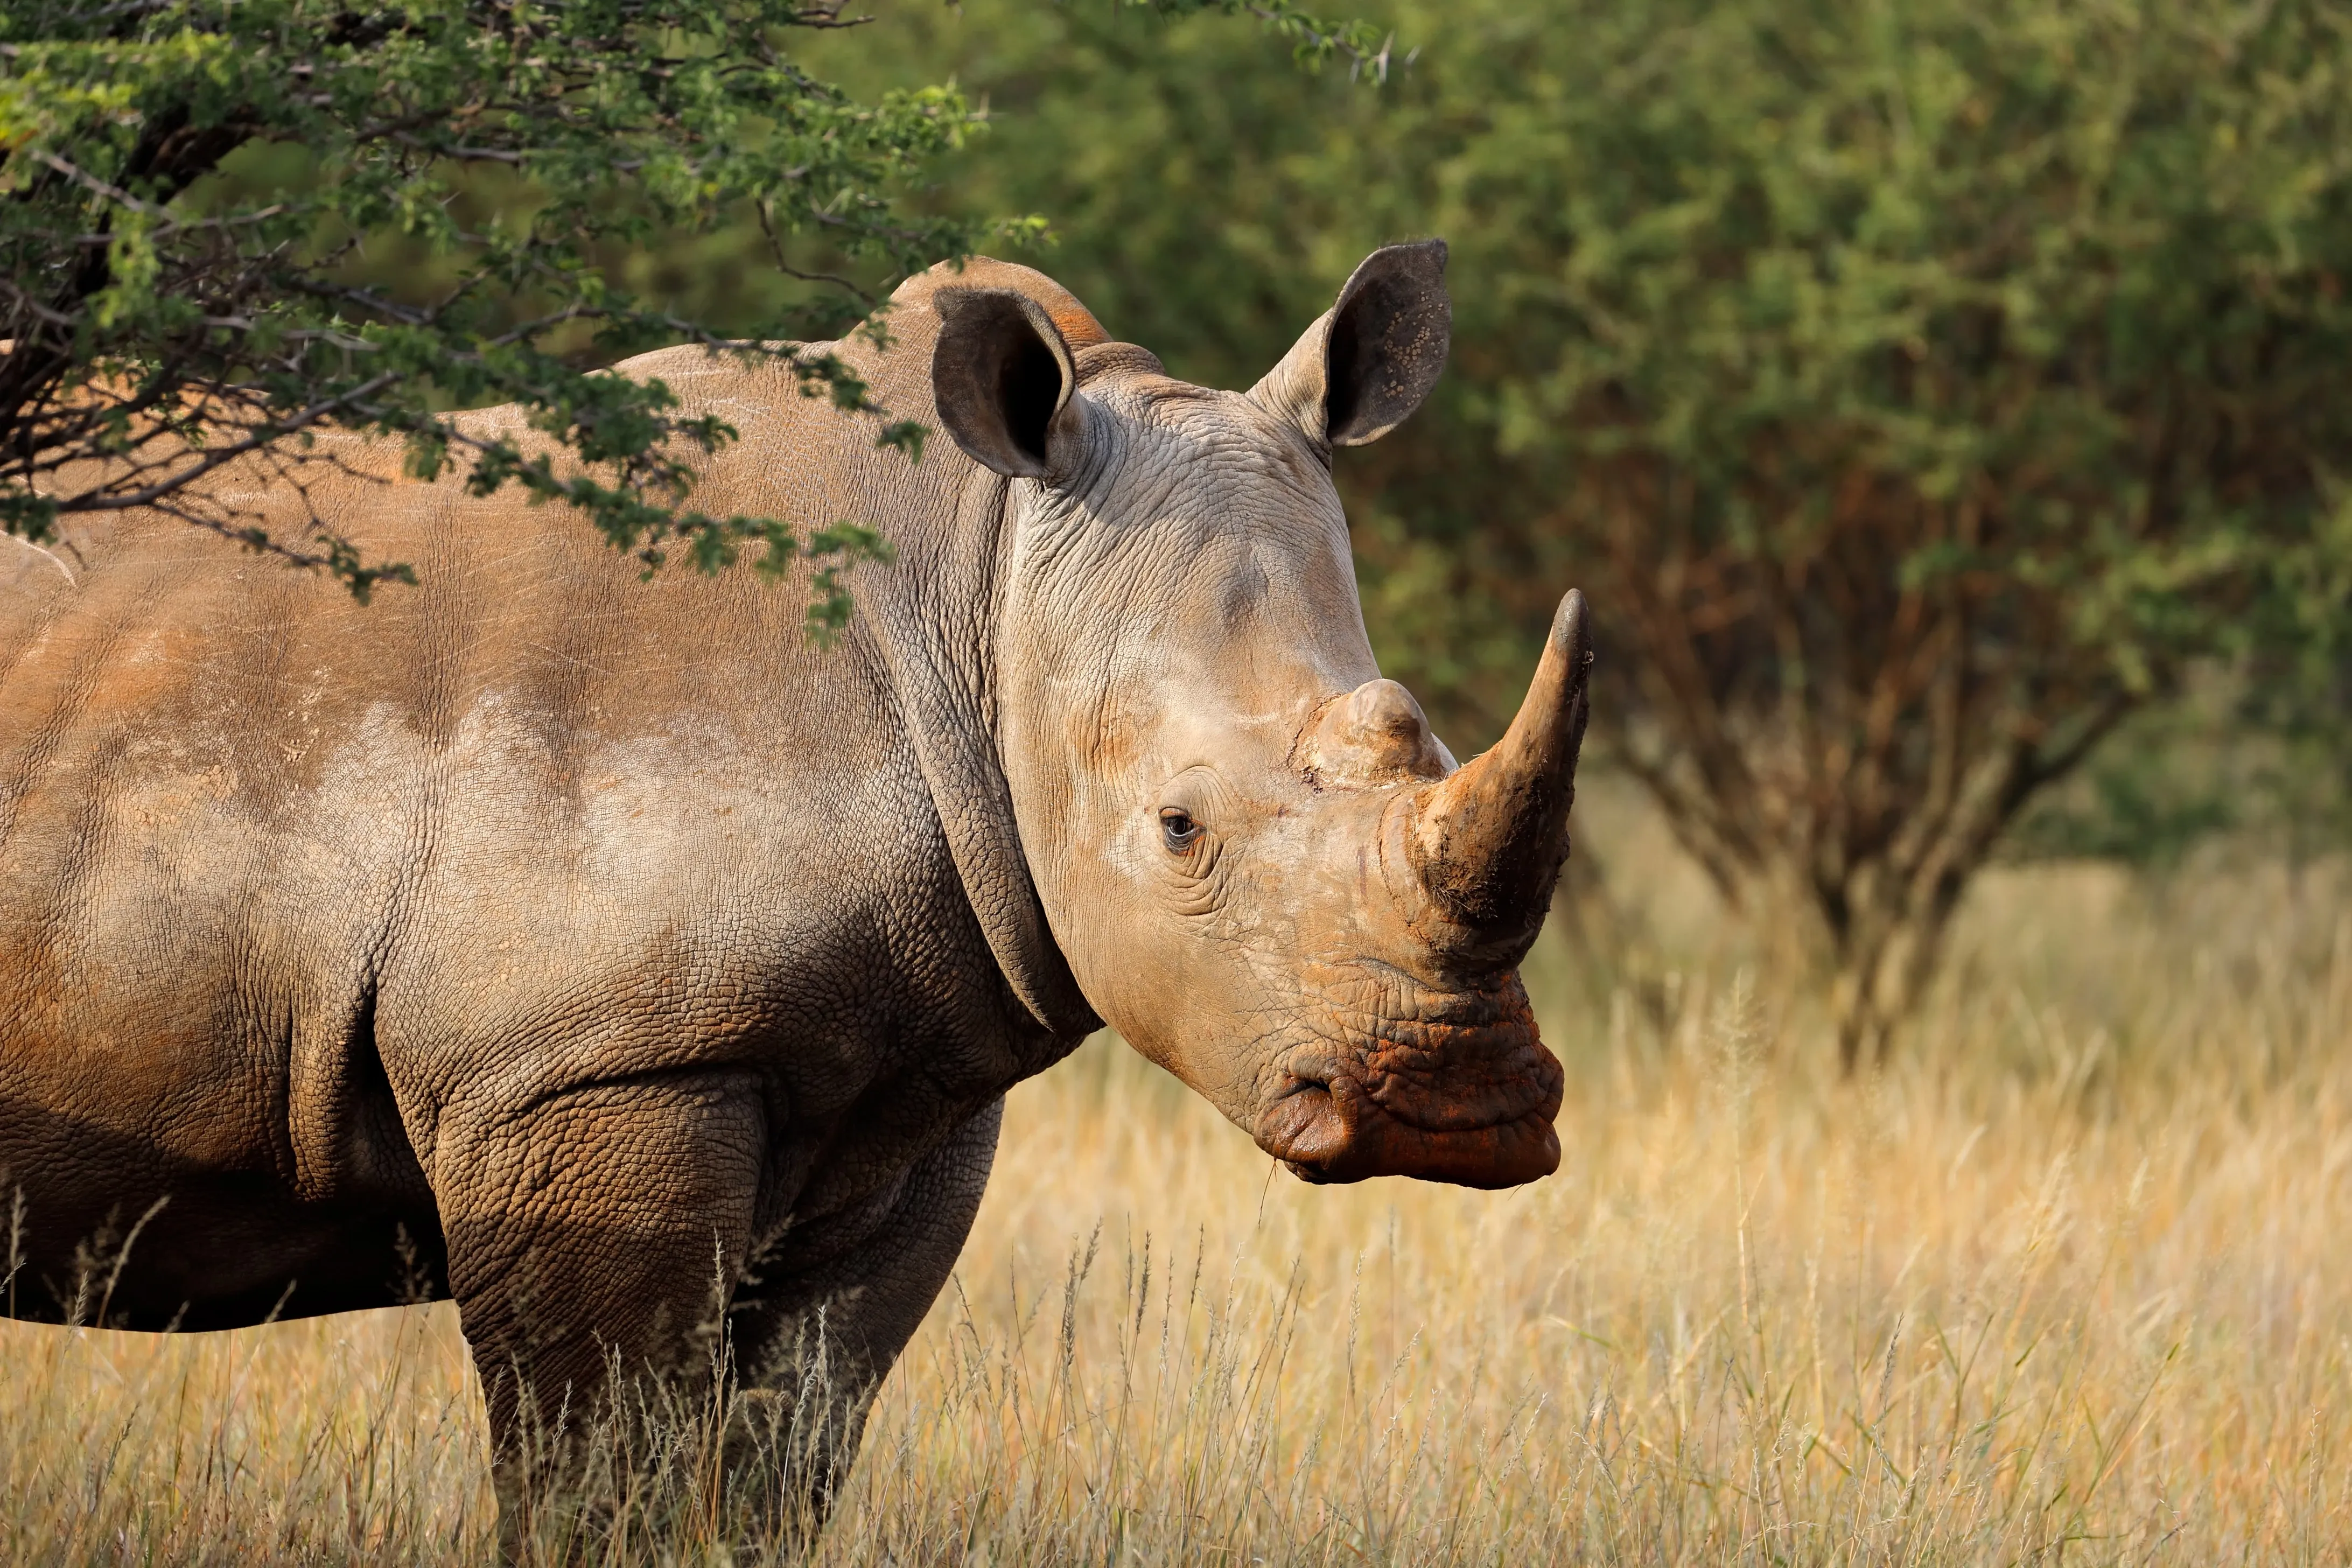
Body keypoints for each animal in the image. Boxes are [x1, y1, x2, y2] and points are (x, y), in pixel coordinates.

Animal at [0, 241, 1590, 1521]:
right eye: (1180, 829)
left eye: (1432, 743)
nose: (1459, 1110)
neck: (981, 590)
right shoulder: (582, 1065)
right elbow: (602, 1479)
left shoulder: (911, 1095)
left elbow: (783, 1461)